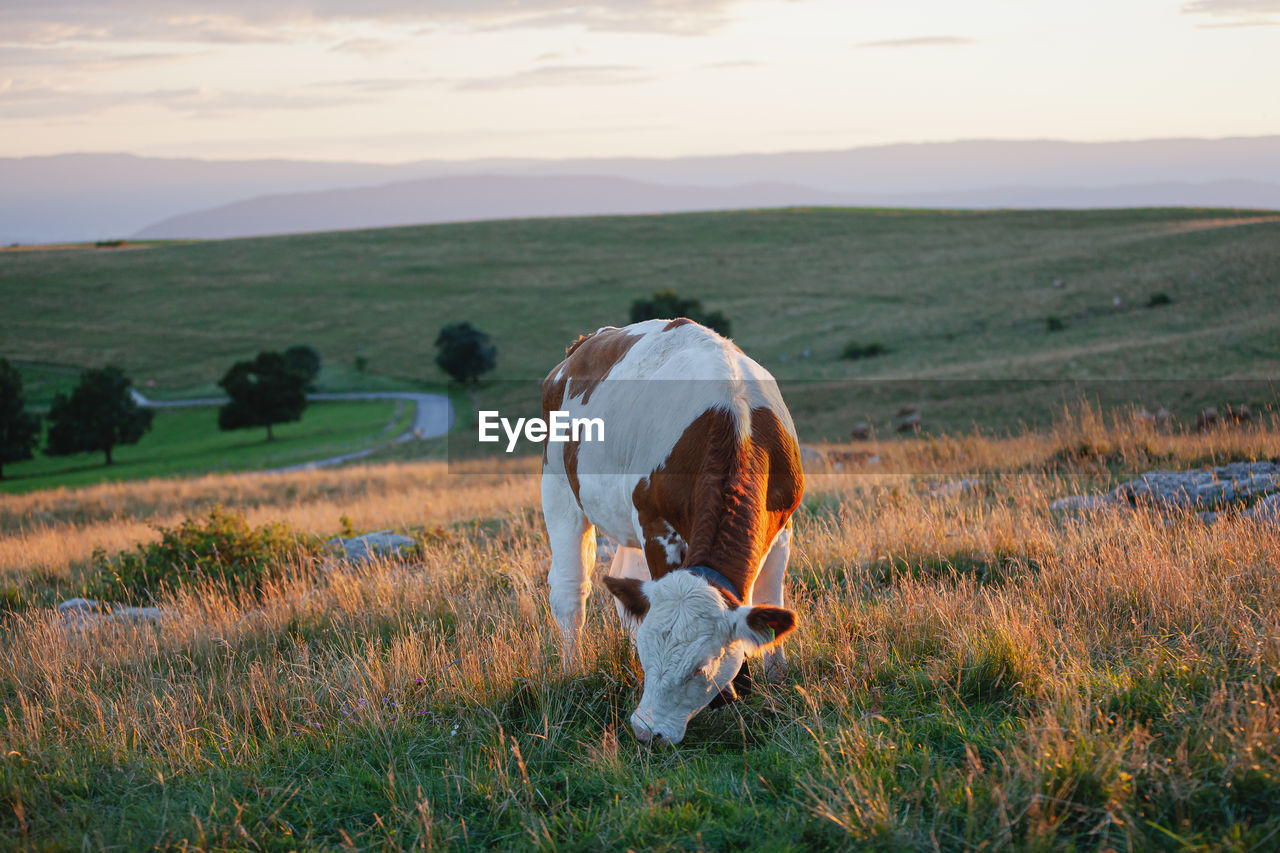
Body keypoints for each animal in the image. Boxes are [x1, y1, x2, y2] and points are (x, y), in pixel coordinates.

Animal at [542, 315, 803, 742]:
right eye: (648, 657)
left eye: (700, 667)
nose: (646, 730)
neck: (735, 422)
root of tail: (582, 346)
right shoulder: (655, 525)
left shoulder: (782, 527)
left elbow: (769, 597)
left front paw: (772, 675)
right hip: (558, 486)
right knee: (569, 590)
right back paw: (571, 670)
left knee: (624, 583)